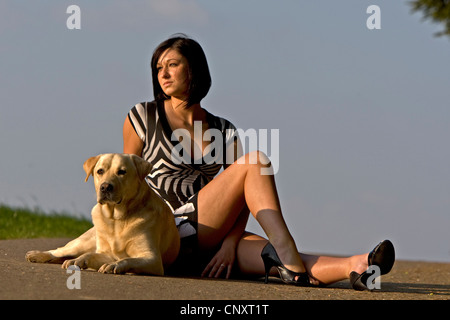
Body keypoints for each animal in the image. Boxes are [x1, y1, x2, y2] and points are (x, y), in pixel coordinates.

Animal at [25, 153, 179, 276]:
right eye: (100, 171)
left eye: (122, 172)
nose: (105, 187)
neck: (117, 218)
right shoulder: (105, 252)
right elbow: (90, 255)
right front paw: (78, 260)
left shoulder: (152, 258)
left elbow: (127, 259)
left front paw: (113, 265)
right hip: (82, 243)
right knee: (60, 250)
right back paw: (37, 255)